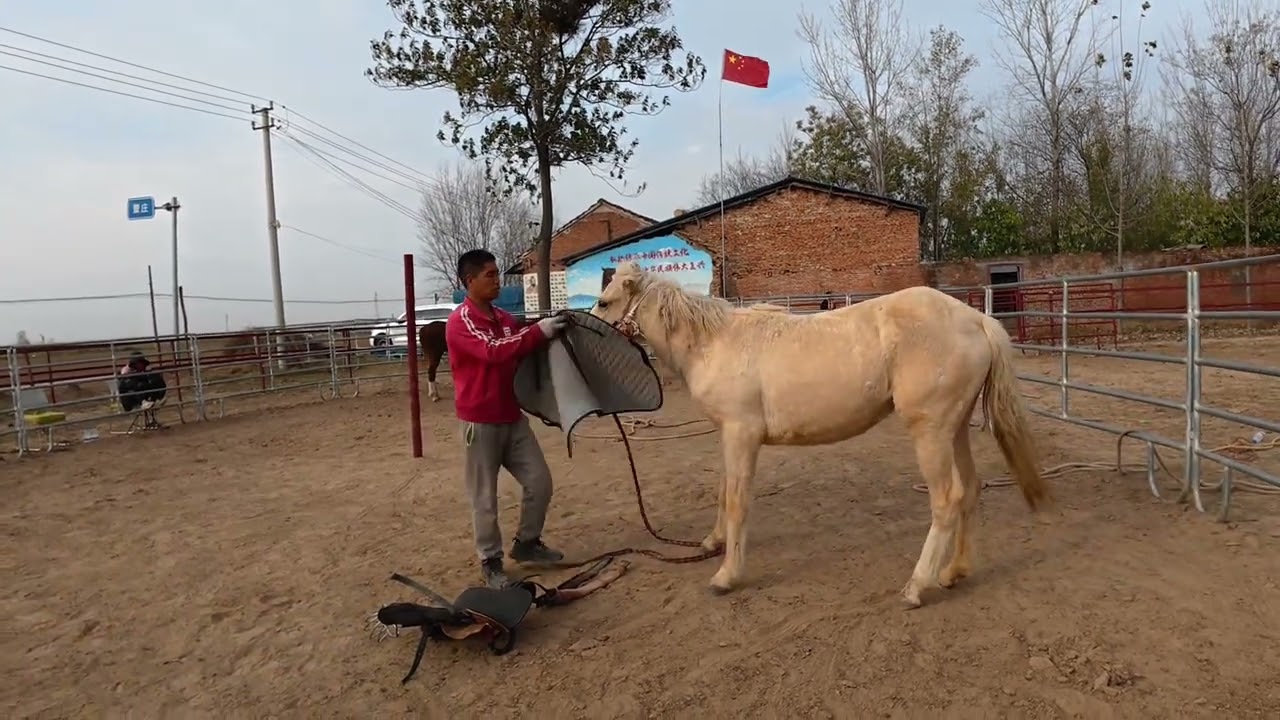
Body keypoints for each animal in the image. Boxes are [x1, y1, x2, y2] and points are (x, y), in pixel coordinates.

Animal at [588, 261, 1049, 607]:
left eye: (604, 301)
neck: (715, 342)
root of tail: (976, 319)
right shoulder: (729, 437)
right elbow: (723, 491)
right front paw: (712, 542)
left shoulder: (741, 434)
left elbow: (737, 501)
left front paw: (726, 575)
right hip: (955, 429)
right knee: (970, 489)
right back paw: (954, 572)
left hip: (931, 432)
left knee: (948, 500)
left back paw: (917, 586)